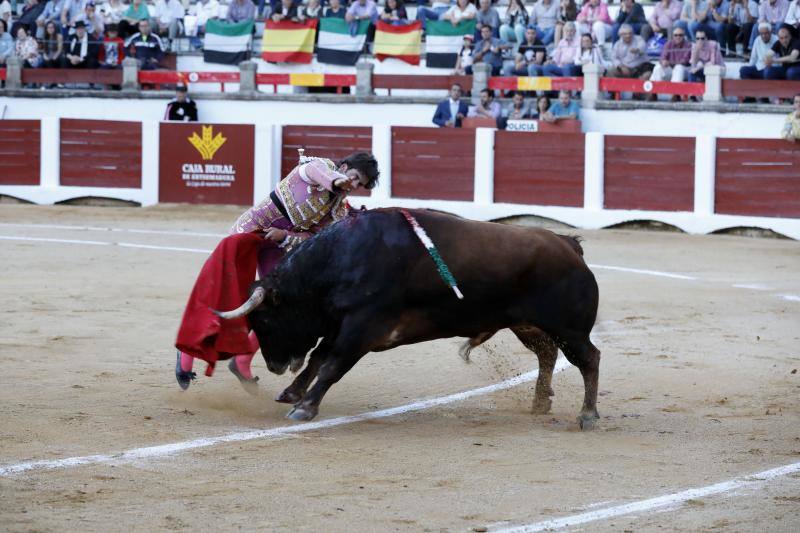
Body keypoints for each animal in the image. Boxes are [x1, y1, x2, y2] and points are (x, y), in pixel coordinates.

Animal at [219, 207, 600, 428]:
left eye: (265, 321)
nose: (274, 366)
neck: (345, 257)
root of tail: (569, 246)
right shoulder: (343, 325)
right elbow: (318, 357)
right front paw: (291, 393)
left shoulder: (362, 327)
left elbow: (331, 365)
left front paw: (305, 407)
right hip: (528, 325)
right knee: (548, 354)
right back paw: (540, 402)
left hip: (570, 328)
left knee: (589, 358)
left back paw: (587, 415)